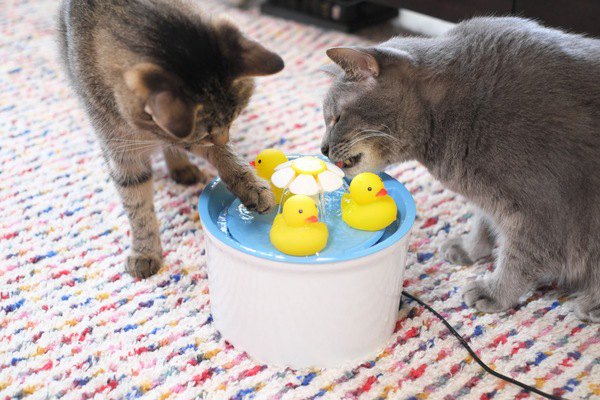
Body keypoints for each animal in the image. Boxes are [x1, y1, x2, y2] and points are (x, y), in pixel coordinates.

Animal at [58, 0, 282, 278]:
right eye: (208, 132)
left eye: (235, 116)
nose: (223, 138)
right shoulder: (123, 152)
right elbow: (139, 209)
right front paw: (144, 251)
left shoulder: (188, 139)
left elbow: (228, 159)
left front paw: (251, 186)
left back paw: (181, 166)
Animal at [322, 17, 596, 322]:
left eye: (336, 118)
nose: (322, 148)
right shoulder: (492, 199)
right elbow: (483, 222)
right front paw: (469, 248)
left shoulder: (541, 211)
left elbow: (519, 259)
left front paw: (494, 292)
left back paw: (589, 305)